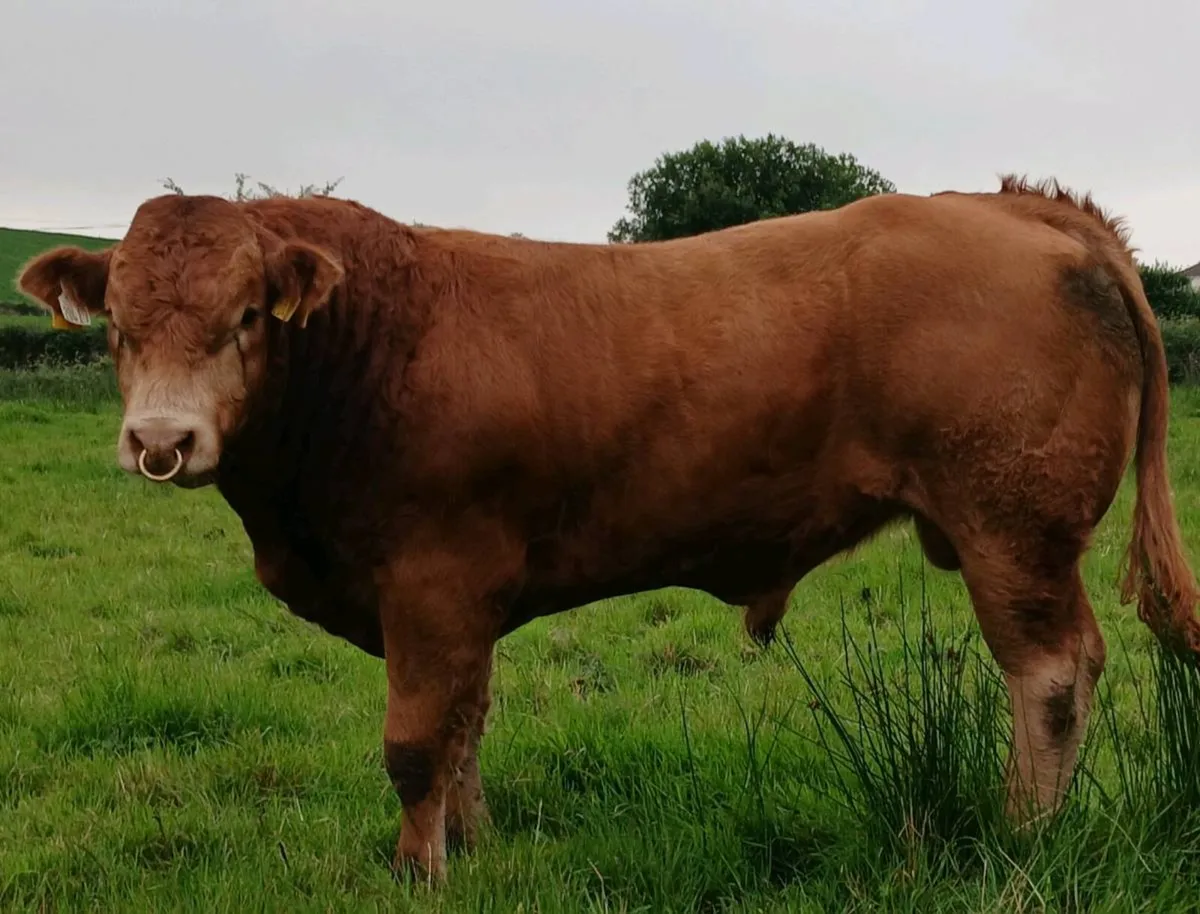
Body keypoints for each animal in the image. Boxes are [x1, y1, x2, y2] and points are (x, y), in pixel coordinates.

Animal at [16, 176, 1200, 884]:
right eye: (117, 326)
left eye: (248, 317)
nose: (160, 439)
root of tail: (1022, 206)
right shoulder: (463, 603)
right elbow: (464, 727)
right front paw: (472, 846)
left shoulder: (432, 584)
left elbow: (416, 741)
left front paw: (417, 869)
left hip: (1013, 528)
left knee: (1051, 672)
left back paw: (1024, 832)